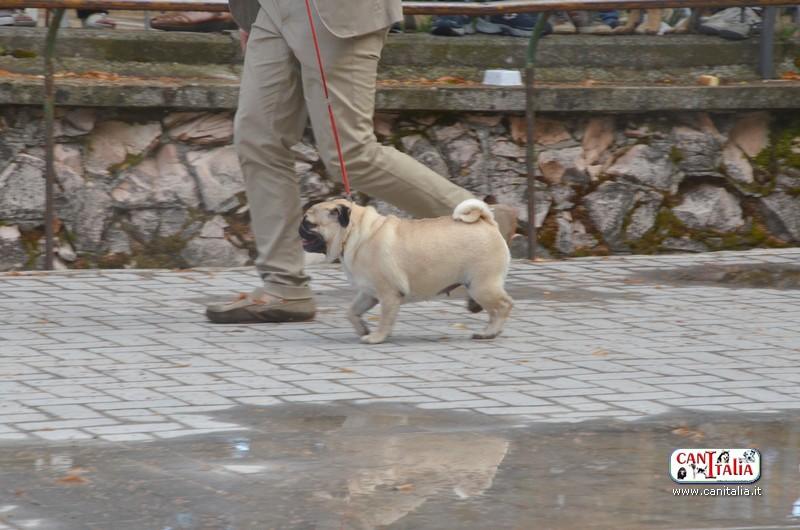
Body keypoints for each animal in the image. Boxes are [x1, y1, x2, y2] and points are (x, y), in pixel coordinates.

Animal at [300, 198, 513, 344]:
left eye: (309, 223)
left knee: (503, 306)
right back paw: (489, 331)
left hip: (481, 286)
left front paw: (377, 337)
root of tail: (487, 222)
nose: (299, 228)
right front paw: (363, 330)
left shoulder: (388, 294)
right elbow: (351, 312)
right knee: (494, 311)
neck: (353, 233)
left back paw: (490, 332)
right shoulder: (368, 293)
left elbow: (385, 318)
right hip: (479, 287)